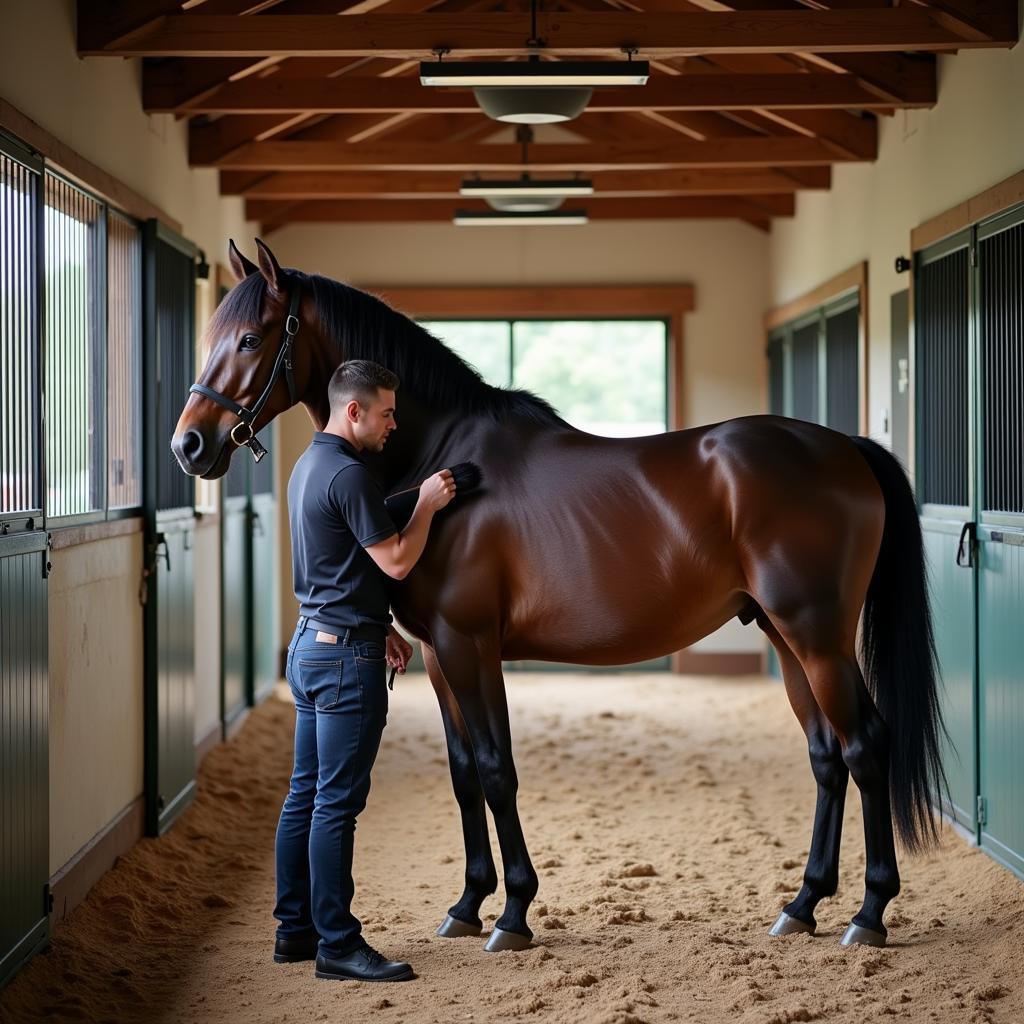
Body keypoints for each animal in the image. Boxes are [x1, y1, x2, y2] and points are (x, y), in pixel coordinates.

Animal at [172, 237, 946, 950]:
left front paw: (513, 913)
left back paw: (869, 914)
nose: (189, 446)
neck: (443, 460)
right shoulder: (438, 653)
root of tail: (847, 449)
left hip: (817, 637)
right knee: (826, 757)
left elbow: (496, 770)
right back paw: (802, 904)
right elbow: (463, 773)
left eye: (249, 338)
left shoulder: (470, 644)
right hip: (786, 638)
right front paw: (465, 905)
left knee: (864, 746)